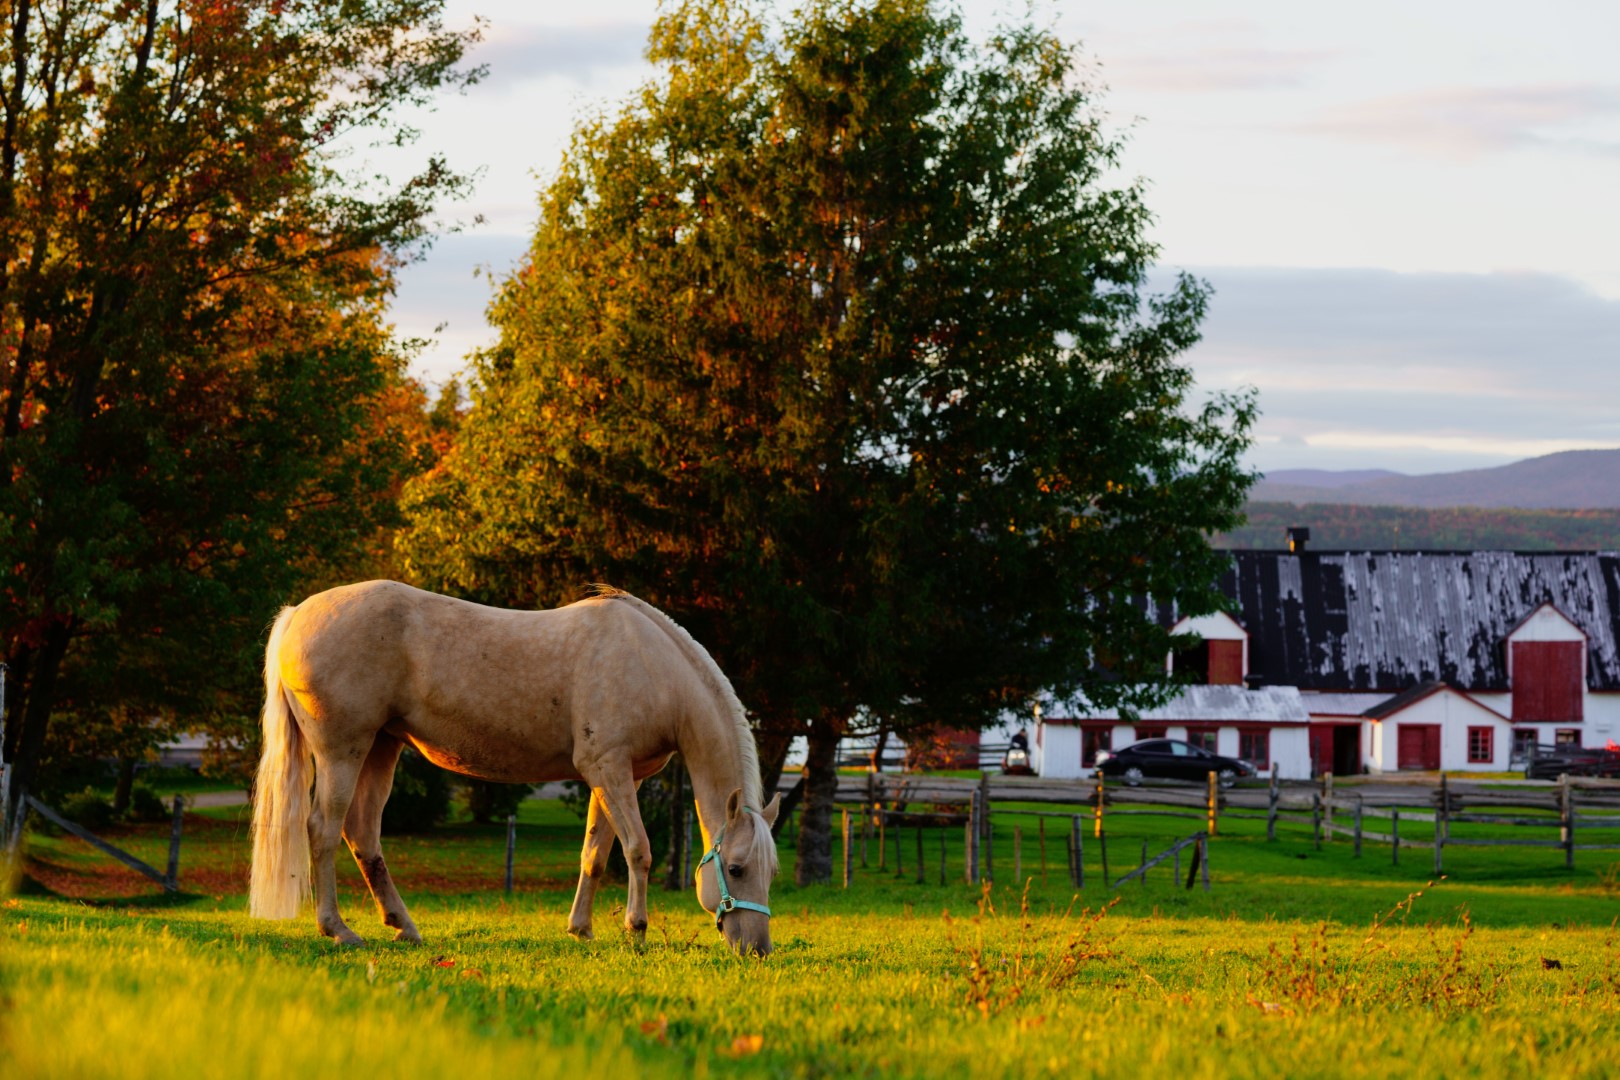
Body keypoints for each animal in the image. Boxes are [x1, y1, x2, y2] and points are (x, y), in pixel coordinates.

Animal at [249, 582, 780, 952]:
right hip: (342, 752)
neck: (653, 667)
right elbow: (638, 851)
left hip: (381, 747)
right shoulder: (607, 769)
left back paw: (404, 927)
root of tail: (298, 614)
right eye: (735, 869)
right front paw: (636, 930)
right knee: (322, 829)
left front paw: (581, 930)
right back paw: (338, 930)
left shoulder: (614, 776)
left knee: (361, 833)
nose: (757, 949)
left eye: (770, 871)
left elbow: (595, 854)